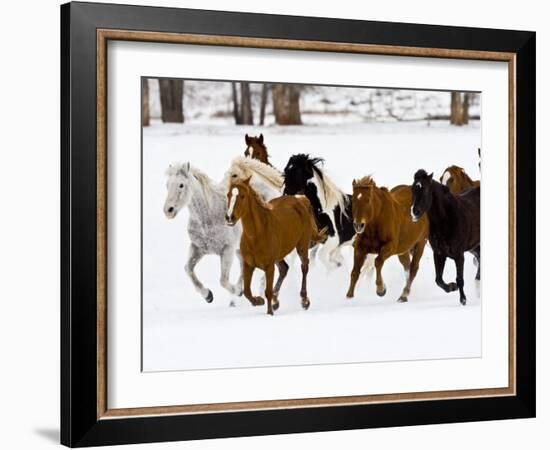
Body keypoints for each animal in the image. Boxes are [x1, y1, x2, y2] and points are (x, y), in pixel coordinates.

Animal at [163, 162, 243, 302]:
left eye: (181, 184)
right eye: (167, 185)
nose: (168, 210)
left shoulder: (228, 249)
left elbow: (223, 280)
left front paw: (236, 292)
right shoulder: (198, 248)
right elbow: (188, 269)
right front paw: (208, 295)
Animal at [225, 178, 326, 314]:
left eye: (242, 196)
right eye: (228, 194)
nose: (229, 217)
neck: (257, 235)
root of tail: (301, 199)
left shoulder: (269, 266)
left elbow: (267, 291)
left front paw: (269, 312)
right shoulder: (248, 265)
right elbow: (247, 292)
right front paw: (259, 301)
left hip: (302, 246)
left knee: (304, 267)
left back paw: (304, 301)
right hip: (280, 255)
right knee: (284, 269)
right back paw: (276, 301)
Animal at [412, 170, 480, 306]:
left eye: (425, 190)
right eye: (413, 190)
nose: (415, 212)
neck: (446, 220)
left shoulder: (459, 255)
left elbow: (460, 279)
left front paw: (463, 300)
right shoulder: (439, 254)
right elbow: (438, 280)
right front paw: (452, 287)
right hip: (474, 247)